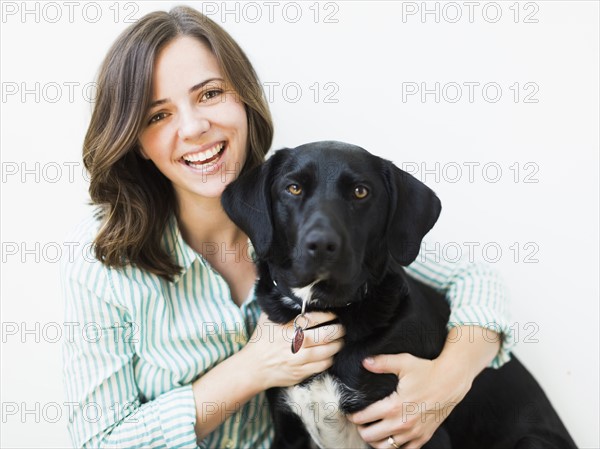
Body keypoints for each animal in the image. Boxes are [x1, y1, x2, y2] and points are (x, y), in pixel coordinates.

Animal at [221, 141, 576, 448]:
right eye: (293, 188)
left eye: (360, 192)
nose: (321, 245)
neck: (332, 311)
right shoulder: (288, 431)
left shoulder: (421, 433)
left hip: (530, 441)